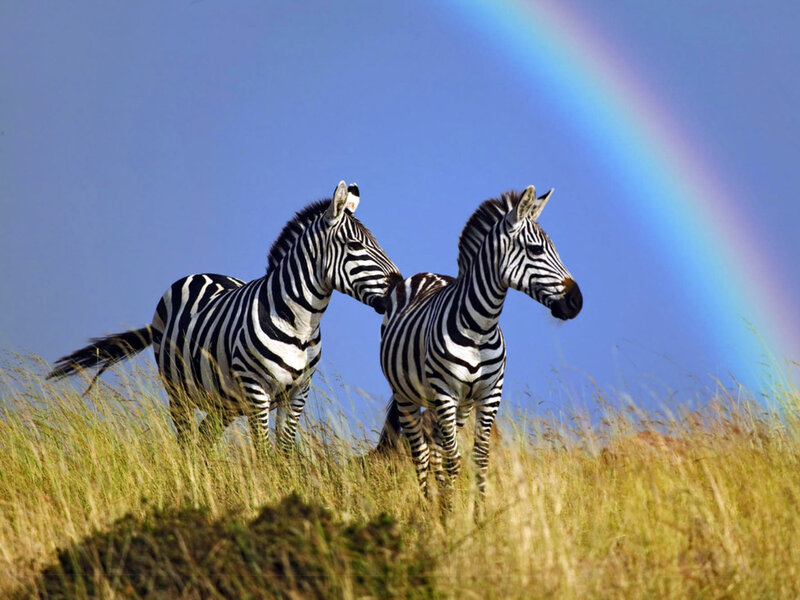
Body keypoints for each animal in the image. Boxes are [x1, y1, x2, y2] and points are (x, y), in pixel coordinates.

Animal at [48, 181, 402, 453]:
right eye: (355, 245)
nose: (399, 285)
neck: (301, 323)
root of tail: (202, 273)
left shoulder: (298, 393)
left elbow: (285, 454)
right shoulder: (257, 391)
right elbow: (263, 454)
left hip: (224, 401)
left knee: (204, 440)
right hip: (178, 391)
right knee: (186, 442)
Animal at [375, 185, 582, 500]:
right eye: (536, 250)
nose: (577, 301)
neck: (480, 328)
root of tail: (424, 274)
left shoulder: (488, 395)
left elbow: (479, 459)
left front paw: (479, 511)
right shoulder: (445, 392)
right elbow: (453, 460)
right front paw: (449, 512)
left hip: (456, 406)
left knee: (435, 452)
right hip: (407, 395)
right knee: (421, 455)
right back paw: (428, 507)